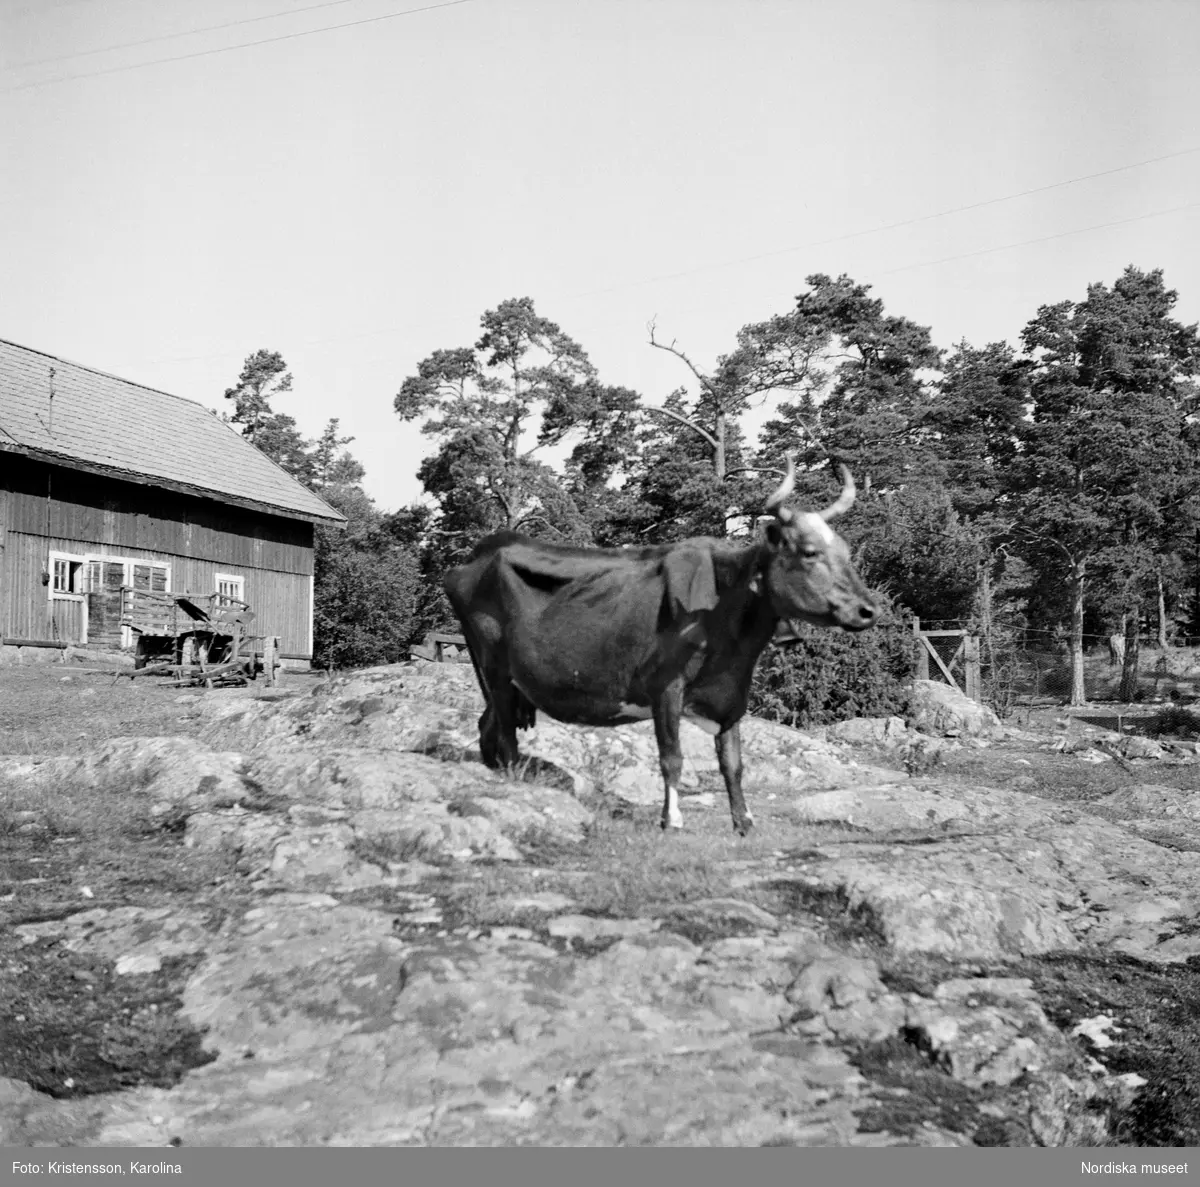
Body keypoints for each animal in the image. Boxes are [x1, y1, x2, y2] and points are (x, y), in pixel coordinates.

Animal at [446, 458, 878, 840]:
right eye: (809, 552)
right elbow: (672, 758)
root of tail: (487, 548)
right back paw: (515, 783)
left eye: (846, 551)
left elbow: (733, 763)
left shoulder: (732, 695)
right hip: (494, 667)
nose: (868, 610)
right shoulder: (666, 688)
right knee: (504, 731)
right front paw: (672, 820)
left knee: (488, 725)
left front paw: (744, 822)